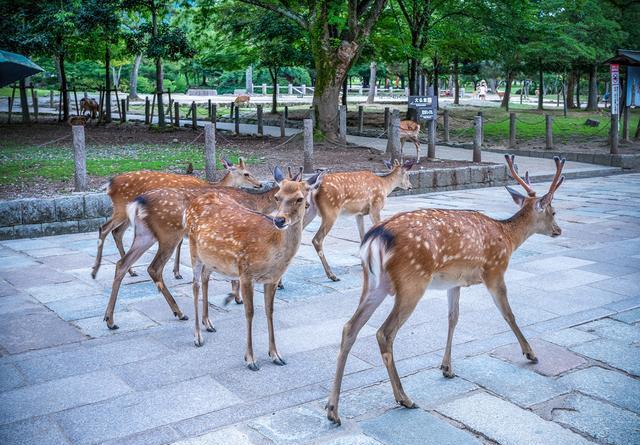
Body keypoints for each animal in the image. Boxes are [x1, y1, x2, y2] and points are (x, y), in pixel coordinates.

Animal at [90, 158, 262, 280]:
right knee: (105, 228)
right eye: (246, 173)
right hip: (120, 209)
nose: (260, 184)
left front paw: (176, 272)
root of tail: (109, 185)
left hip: (128, 215)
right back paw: (95, 270)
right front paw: (177, 272)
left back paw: (130, 271)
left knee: (117, 232)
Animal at [100, 166, 292, 330]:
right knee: (148, 263)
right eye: (246, 173)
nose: (259, 184)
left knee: (121, 259)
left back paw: (110, 318)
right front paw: (236, 298)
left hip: (144, 233)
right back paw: (179, 312)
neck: (257, 204)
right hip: (166, 233)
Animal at [185, 167, 324, 368]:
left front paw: (275, 355)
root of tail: (191, 203)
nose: (280, 220)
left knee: (205, 278)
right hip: (193, 247)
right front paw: (250, 359)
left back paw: (208, 323)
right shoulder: (246, 272)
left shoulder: (272, 279)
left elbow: (269, 311)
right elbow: (249, 312)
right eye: (277, 197)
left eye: (300, 198)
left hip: (211, 257)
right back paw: (197, 336)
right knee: (194, 285)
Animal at [324, 155, 564, 424]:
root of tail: (374, 237)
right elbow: (508, 314)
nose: (558, 230)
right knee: (384, 333)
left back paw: (332, 410)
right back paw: (404, 398)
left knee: (349, 328)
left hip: (374, 283)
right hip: (412, 282)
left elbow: (453, 318)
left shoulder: (455, 282)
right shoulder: (495, 270)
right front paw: (530, 353)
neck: (509, 239)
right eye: (554, 211)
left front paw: (447, 368)